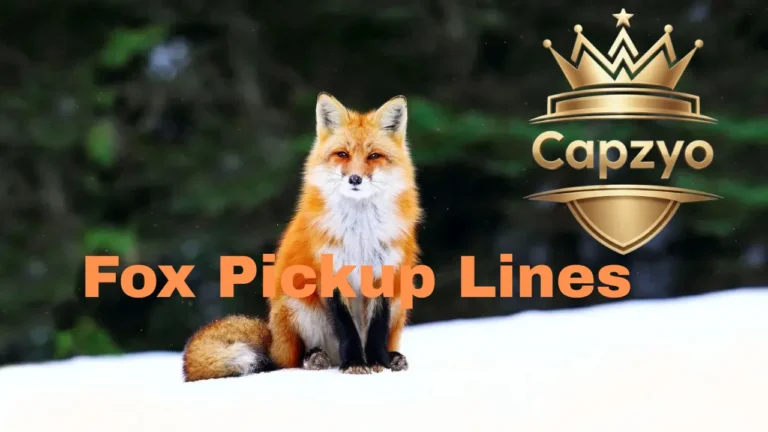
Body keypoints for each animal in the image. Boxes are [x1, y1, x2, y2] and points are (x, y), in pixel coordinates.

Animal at [182, 92, 422, 381]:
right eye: (342, 154)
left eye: (374, 155)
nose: (355, 179)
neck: (359, 234)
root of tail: (274, 341)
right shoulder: (330, 274)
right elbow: (347, 330)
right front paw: (354, 363)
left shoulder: (383, 273)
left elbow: (376, 329)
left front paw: (378, 363)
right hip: (298, 304)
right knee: (293, 361)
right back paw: (316, 358)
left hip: (400, 302)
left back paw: (393, 357)